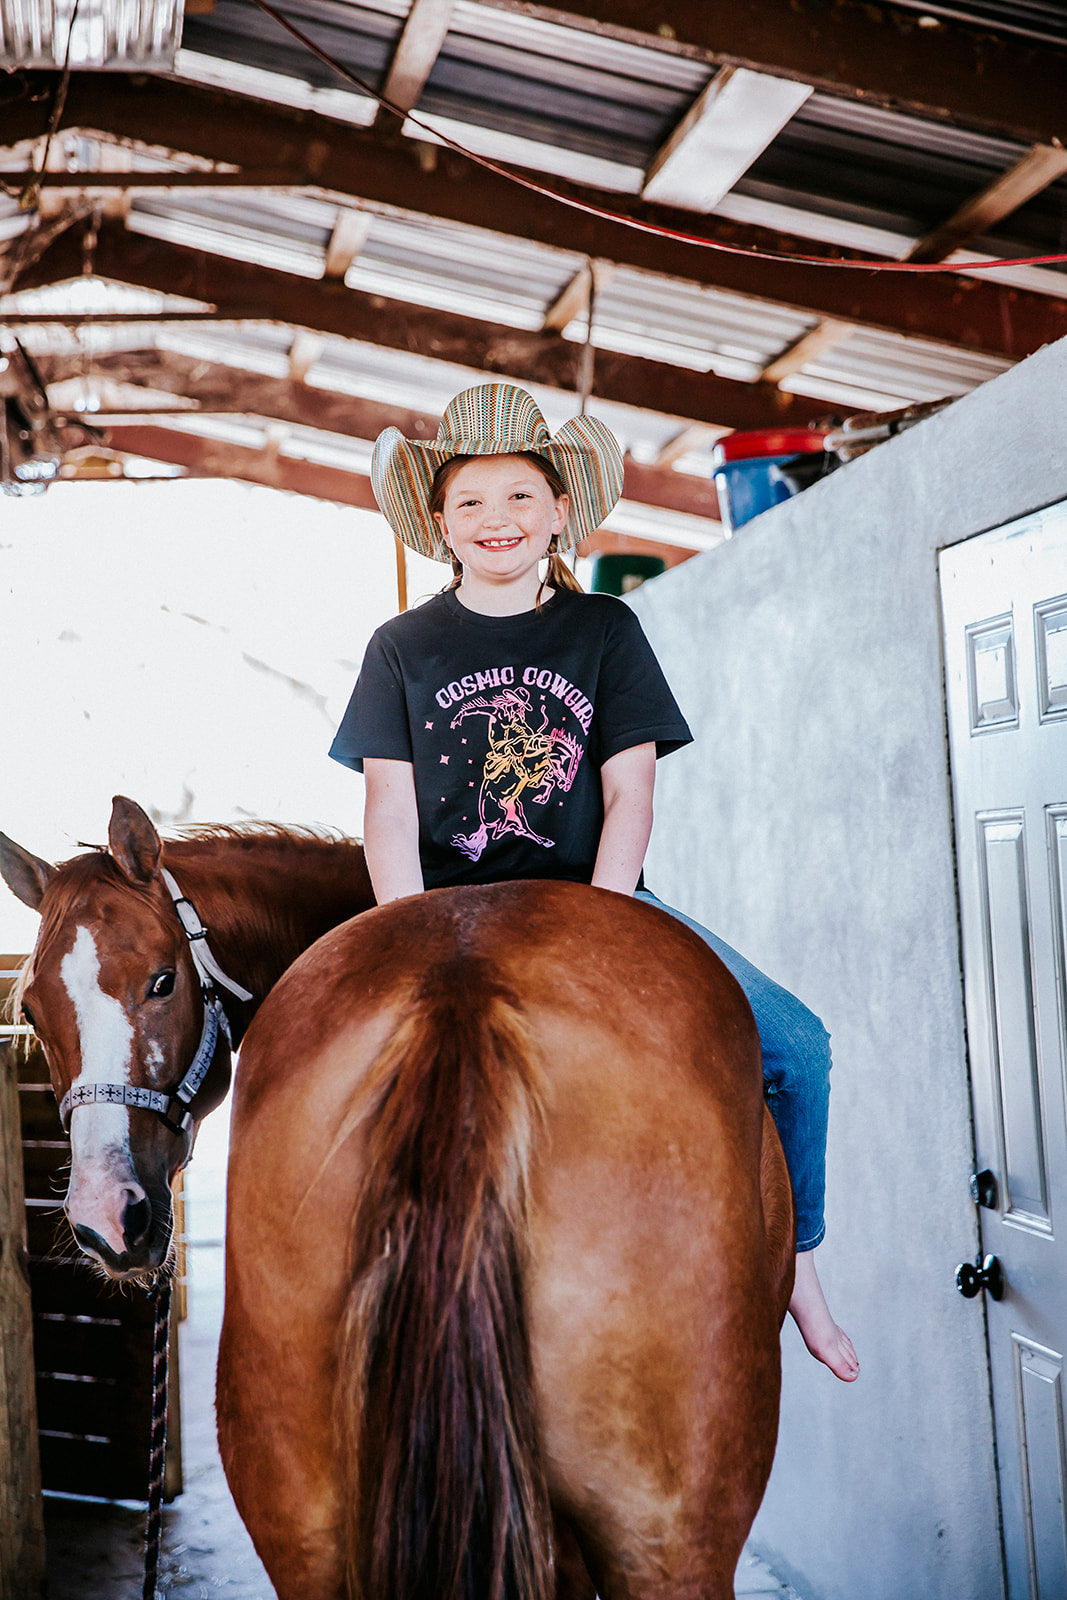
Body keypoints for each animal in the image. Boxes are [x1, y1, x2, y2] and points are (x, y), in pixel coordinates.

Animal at [2, 800, 793, 1600]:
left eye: (163, 982)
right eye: (33, 1013)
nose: (107, 1216)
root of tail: (462, 990)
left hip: (303, 1526)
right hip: (668, 1539)